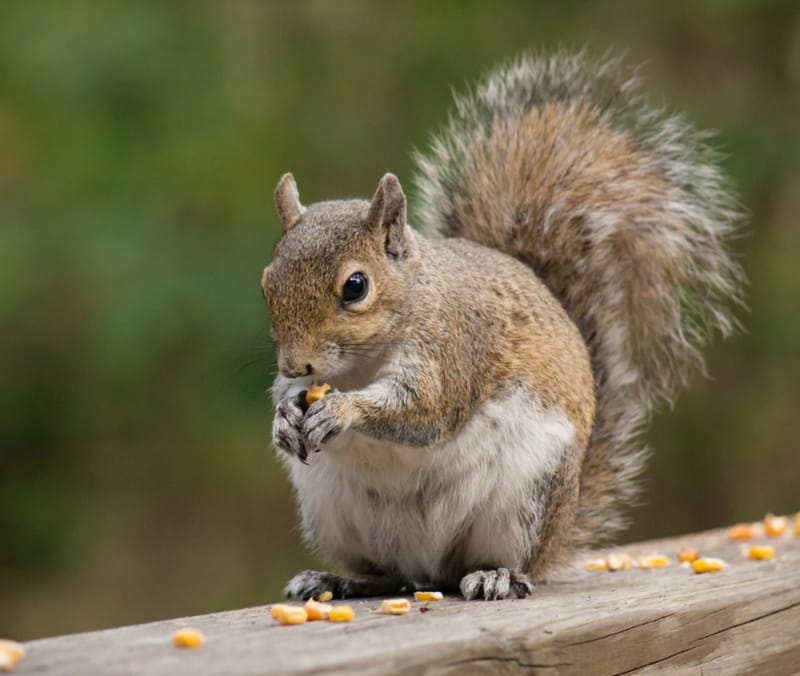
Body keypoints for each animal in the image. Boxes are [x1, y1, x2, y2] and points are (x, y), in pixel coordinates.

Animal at [260, 51, 744, 601]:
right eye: (267, 280)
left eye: (356, 287)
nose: (294, 363)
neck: (363, 362)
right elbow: (293, 398)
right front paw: (284, 416)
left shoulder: (453, 350)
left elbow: (423, 411)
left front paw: (342, 410)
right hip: (332, 510)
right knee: (389, 574)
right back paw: (336, 579)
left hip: (527, 498)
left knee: (501, 561)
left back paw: (496, 575)